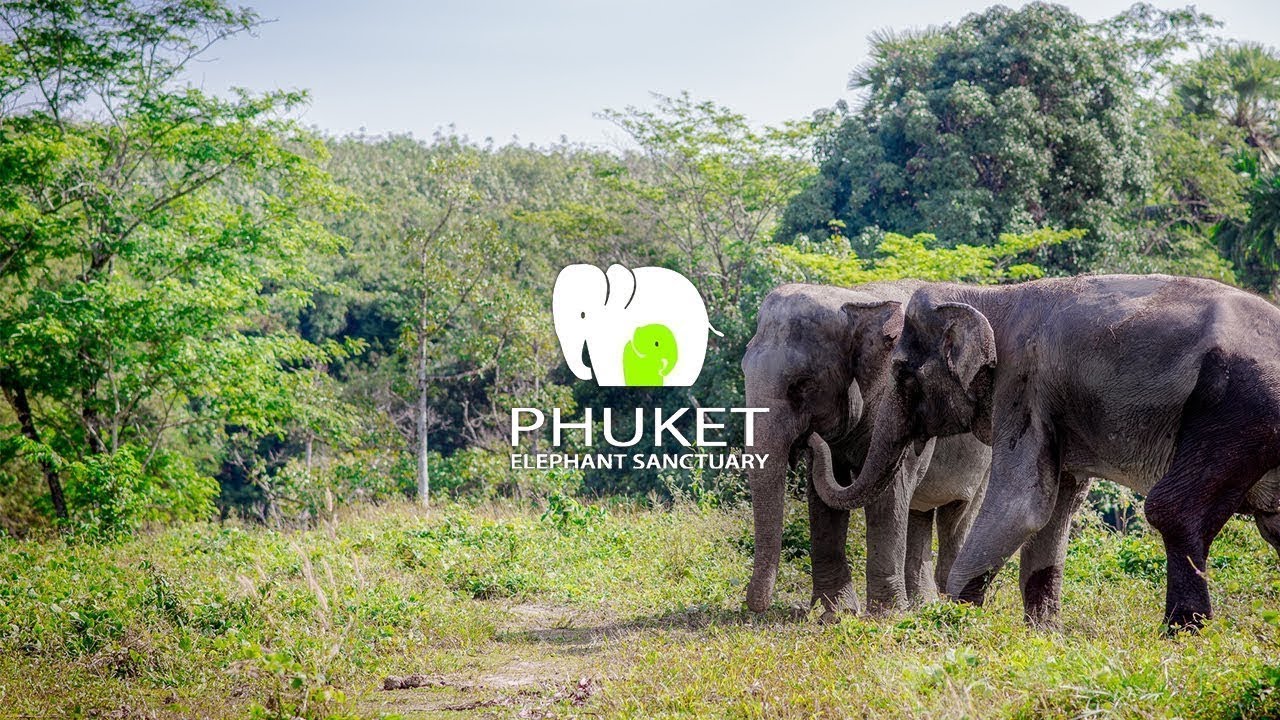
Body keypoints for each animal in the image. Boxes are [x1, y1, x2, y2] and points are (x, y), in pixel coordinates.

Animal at [742, 281, 992, 617]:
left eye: (802, 385)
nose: (757, 607)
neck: (856, 300)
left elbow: (889, 494)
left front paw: (885, 615)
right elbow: (823, 496)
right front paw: (836, 614)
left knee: (956, 517)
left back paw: (956, 606)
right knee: (918, 515)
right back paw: (923, 605)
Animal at [808, 274, 1280, 631]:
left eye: (903, 373)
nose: (815, 438)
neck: (991, 295)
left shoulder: (1023, 386)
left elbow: (1022, 506)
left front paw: (952, 622)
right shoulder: (1054, 407)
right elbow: (1055, 508)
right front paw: (1044, 633)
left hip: (1237, 409)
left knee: (1173, 508)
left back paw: (1179, 633)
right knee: (1271, 524)